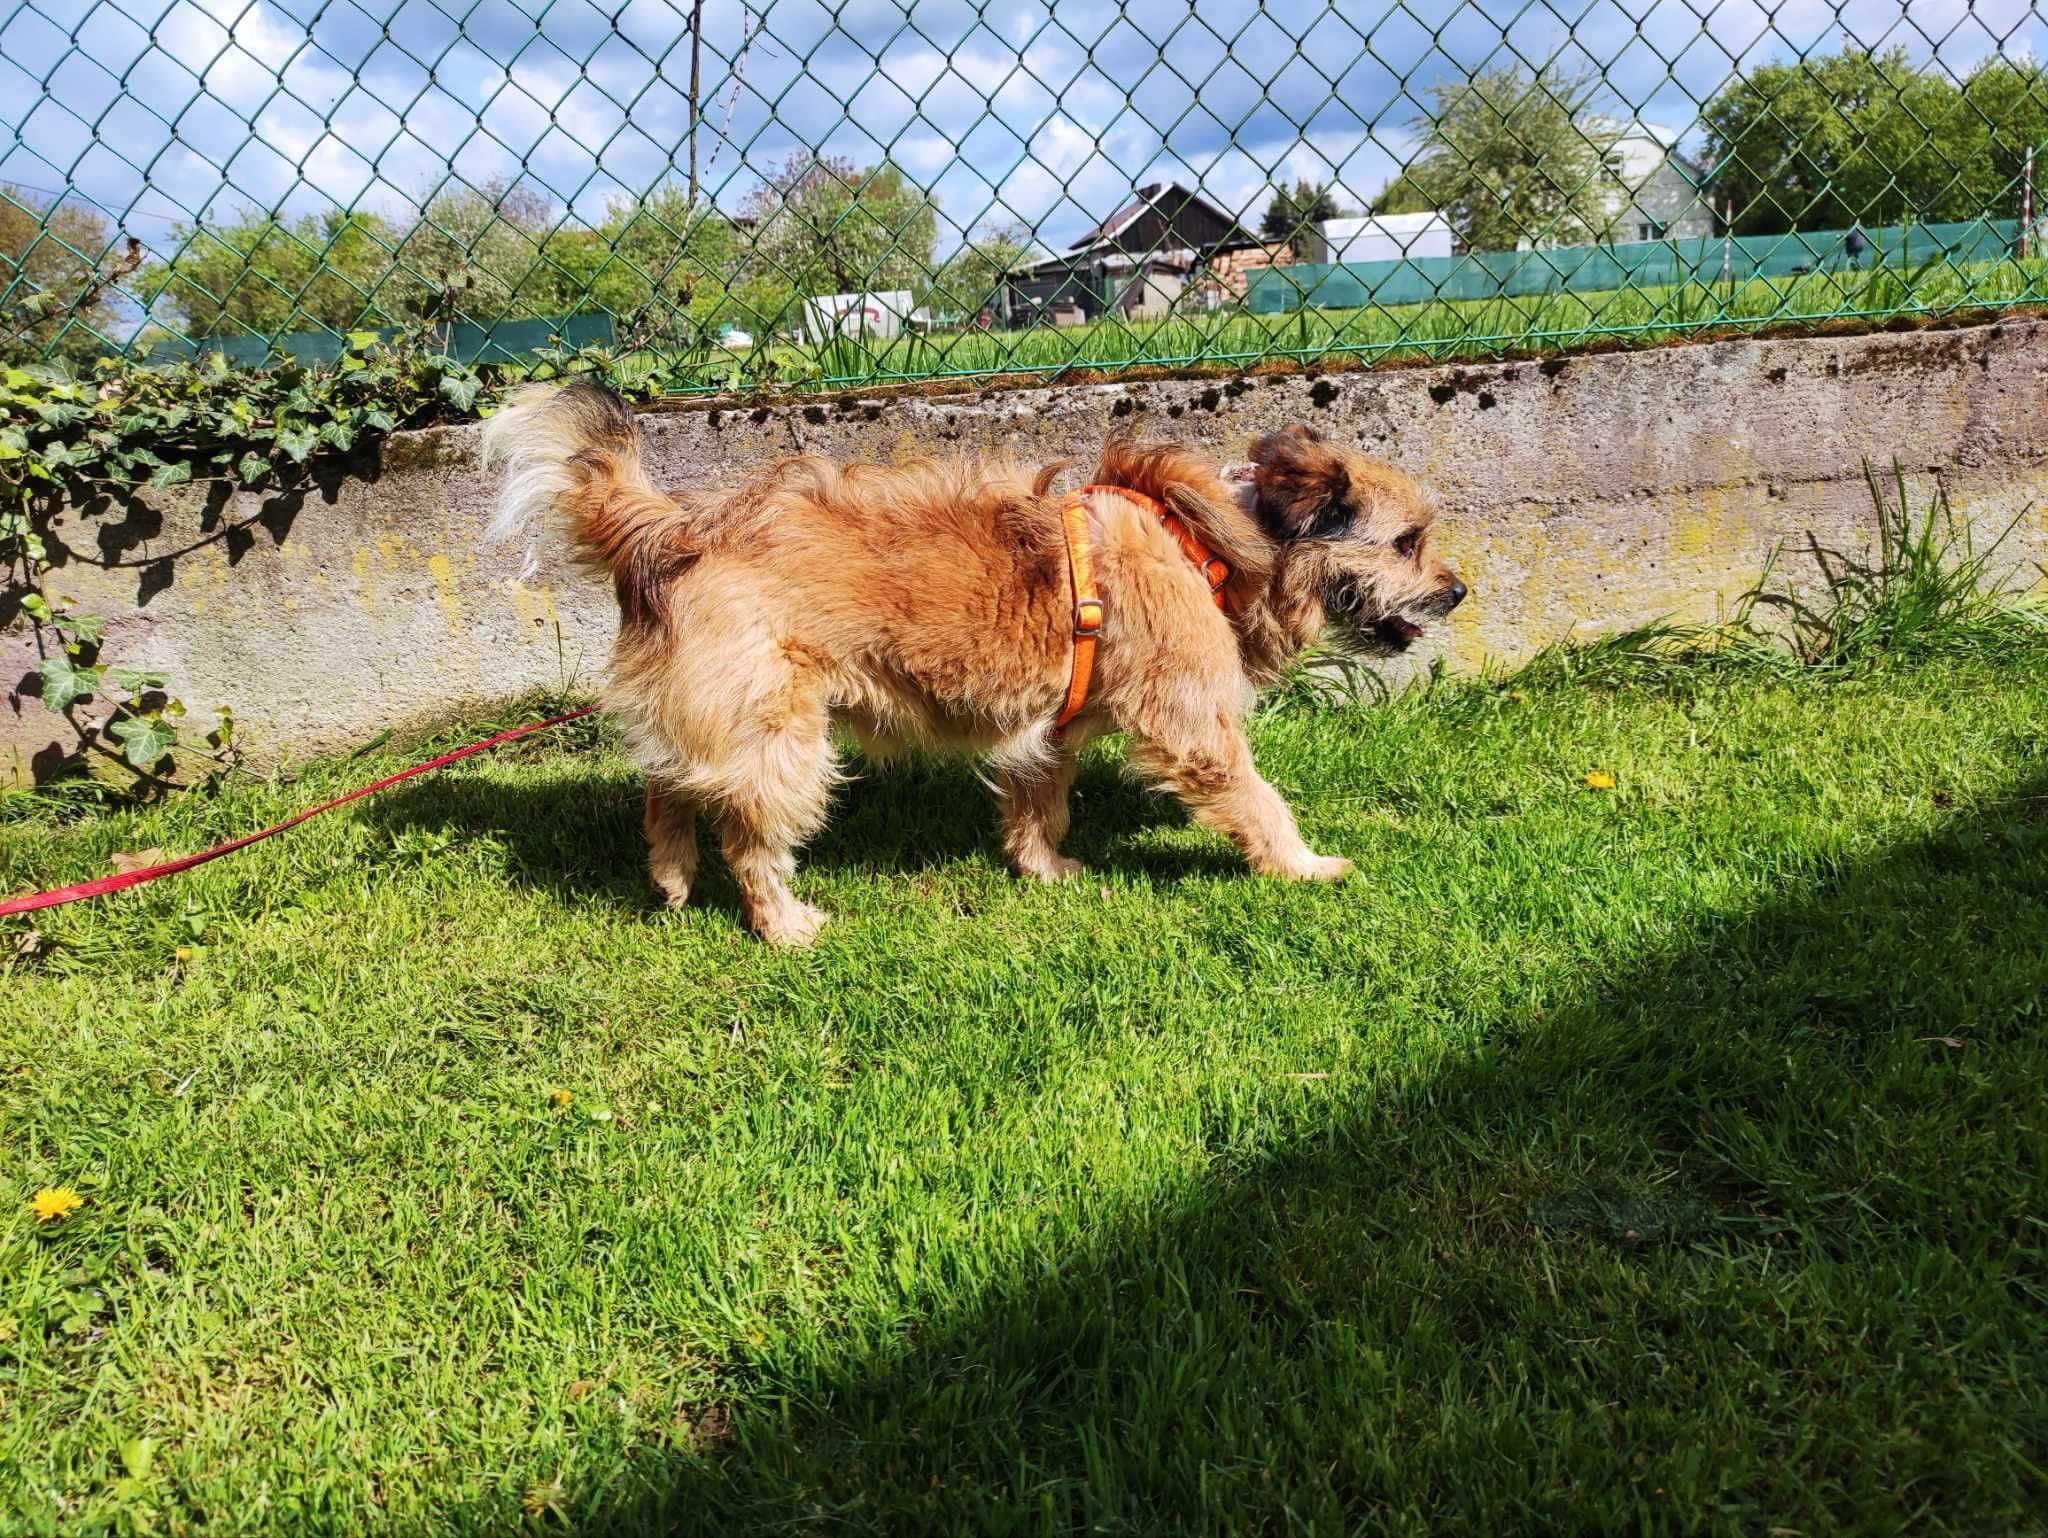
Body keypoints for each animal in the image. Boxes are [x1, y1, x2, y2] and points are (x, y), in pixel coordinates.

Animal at [487, 378, 1466, 946]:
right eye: (1408, 542)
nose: (1457, 591)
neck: (1213, 544)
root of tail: (673, 528)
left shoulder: (1052, 728)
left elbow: (1043, 800)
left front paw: (1042, 869)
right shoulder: (1194, 724)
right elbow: (1258, 798)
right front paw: (1304, 867)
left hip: (717, 710)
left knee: (669, 784)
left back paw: (670, 876)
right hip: (780, 734)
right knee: (748, 835)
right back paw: (785, 925)